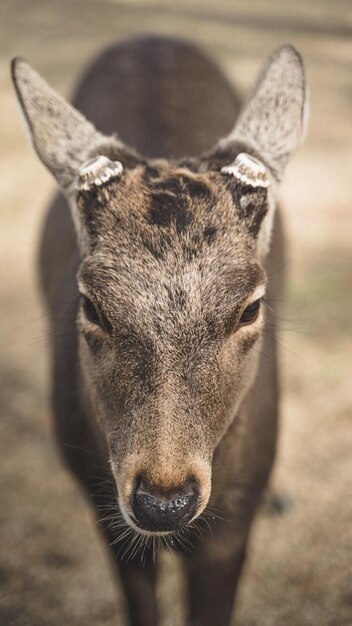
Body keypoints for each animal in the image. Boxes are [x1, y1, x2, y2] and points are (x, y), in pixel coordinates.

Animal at [11, 35, 306, 624]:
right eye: (91, 303)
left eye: (251, 307)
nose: (163, 501)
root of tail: (153, 39)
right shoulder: (103, 506)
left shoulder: (231, 524)